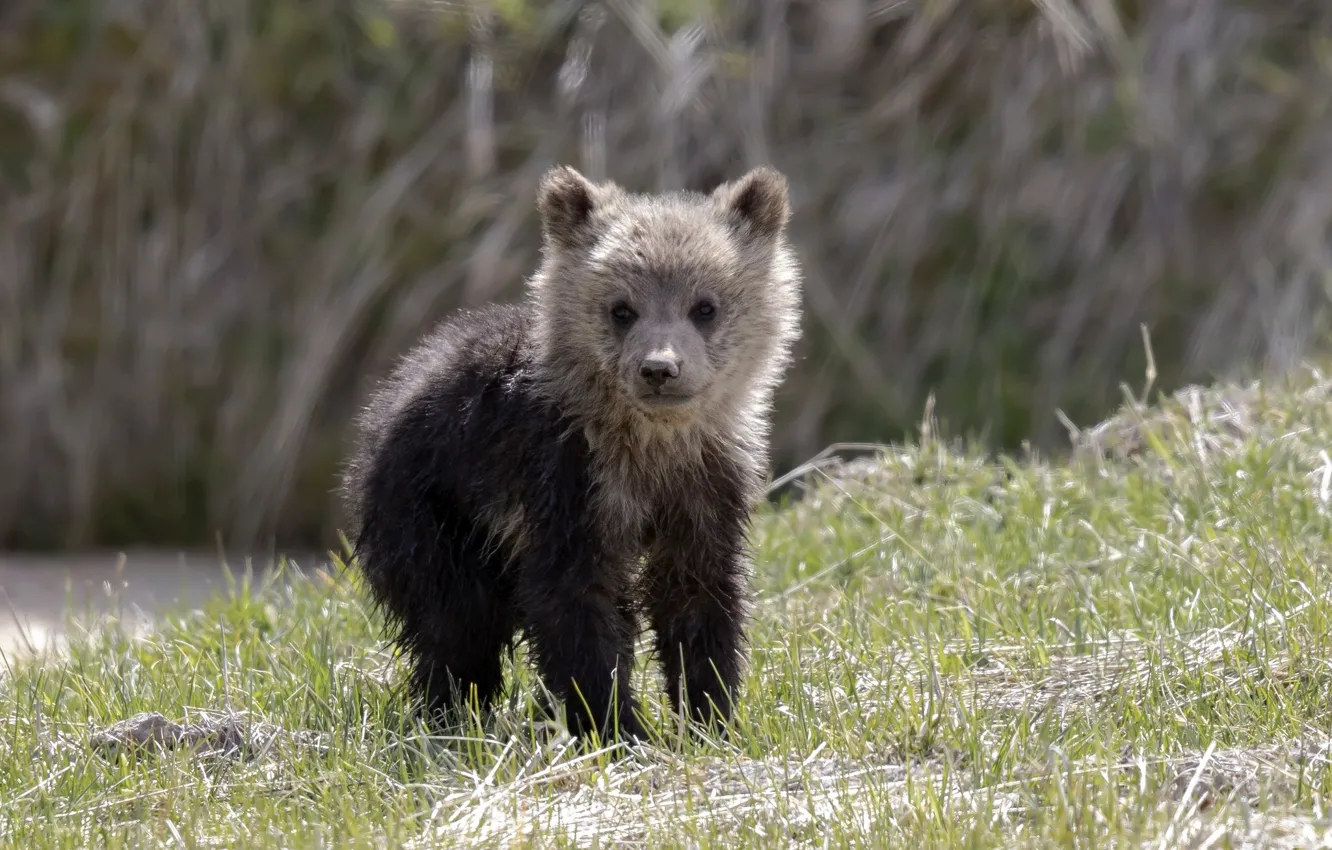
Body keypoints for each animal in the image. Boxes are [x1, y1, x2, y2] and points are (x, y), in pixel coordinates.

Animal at [339, 164, 803, 744]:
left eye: (705, 306)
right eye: (621, 308)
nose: (659, 368)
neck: (649, 446)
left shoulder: (707, 483)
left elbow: (698, 593)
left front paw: (709, 716)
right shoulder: (564, 476)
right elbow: (574, 600)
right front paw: (617, 726)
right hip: (433, 510)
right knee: (457, 621)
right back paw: (451, 717)